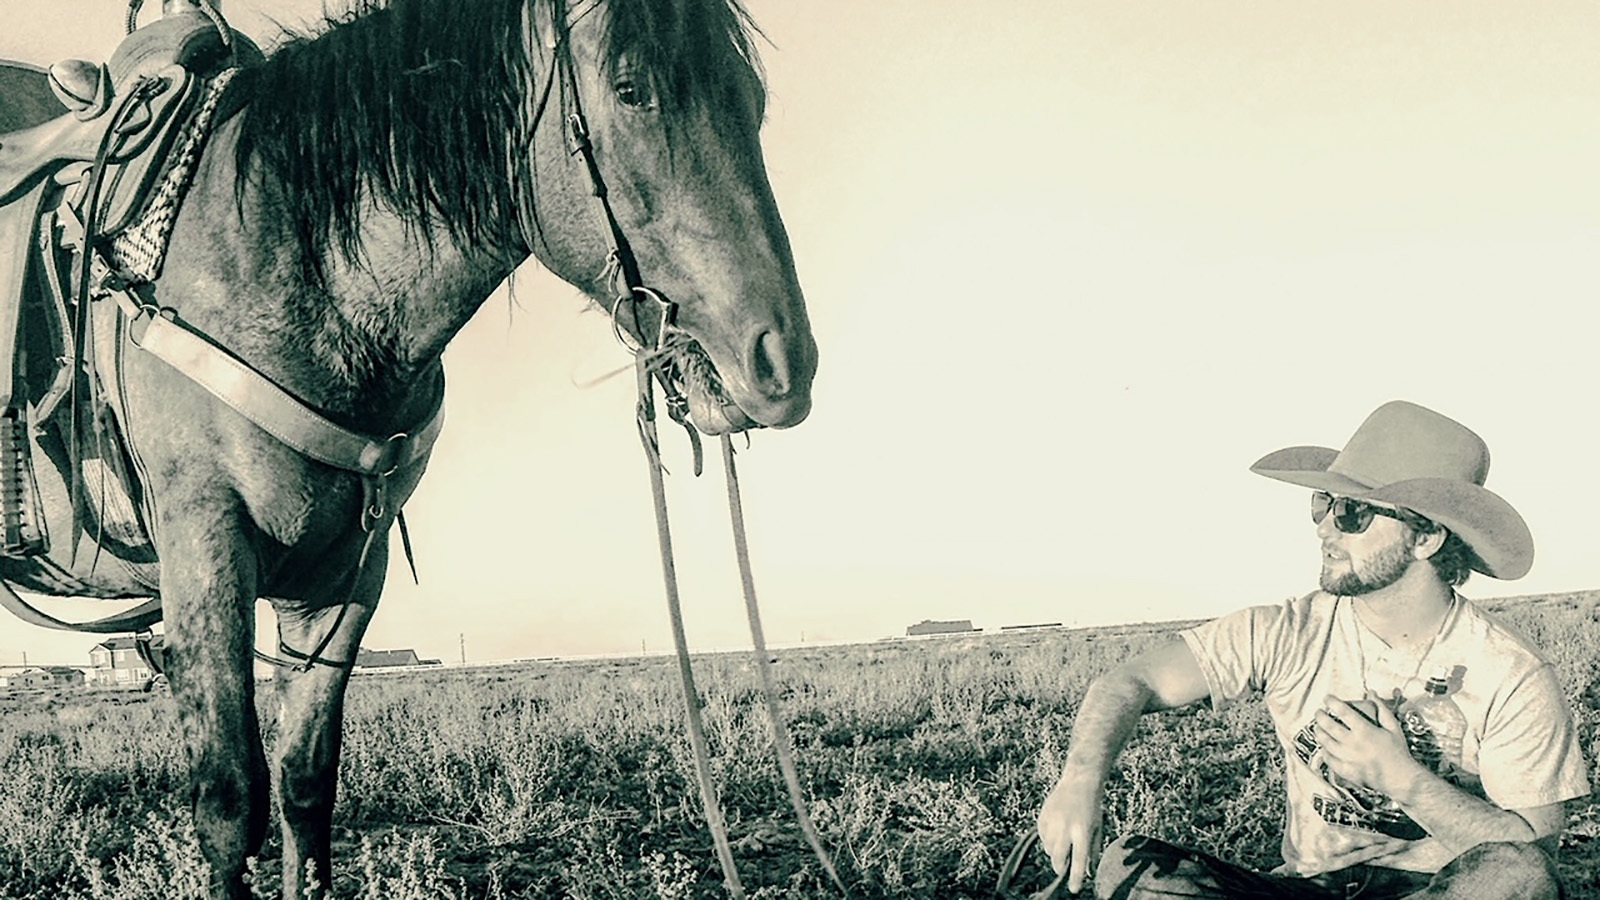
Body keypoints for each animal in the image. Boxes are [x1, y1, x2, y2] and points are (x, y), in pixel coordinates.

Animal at [0, 0, 816, 896]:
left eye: (752, 98)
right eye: (632, 90)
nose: (781, 365)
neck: (279, 263)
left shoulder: (347, 574)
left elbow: (305, 783)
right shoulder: (204, 547)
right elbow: (230, 800)